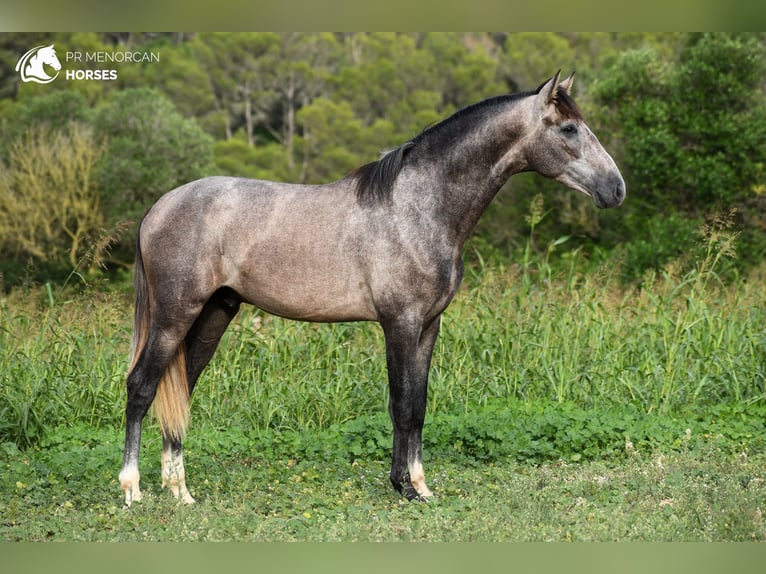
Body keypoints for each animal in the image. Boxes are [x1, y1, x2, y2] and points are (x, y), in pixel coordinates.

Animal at [118, 72, 624, 508]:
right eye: (569, 128)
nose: (616, 189)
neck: (418, 208)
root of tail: (159, 207)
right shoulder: (399, 323)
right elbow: (401, 404)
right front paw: (406, 487)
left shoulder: (428, 326)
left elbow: (418, 405)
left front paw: (419, 485)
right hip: (175, 314)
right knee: (141, 386)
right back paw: (132, 489)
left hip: (214, 314)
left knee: (180, 390)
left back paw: (180, 491)